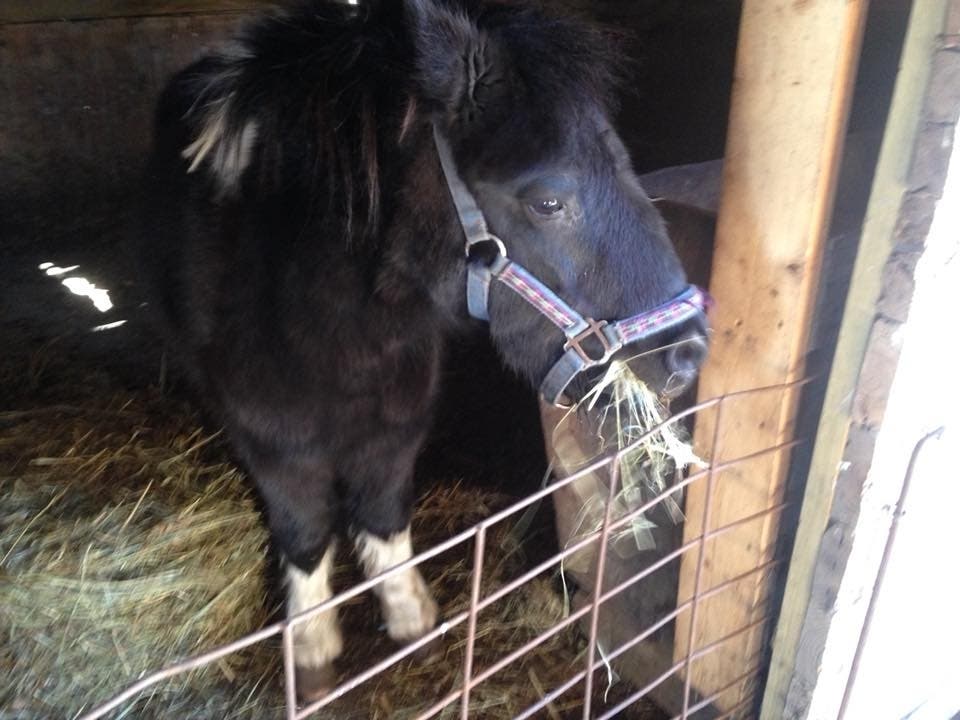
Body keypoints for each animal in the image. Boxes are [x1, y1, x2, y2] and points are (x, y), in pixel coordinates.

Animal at [139, 0, 708, 700]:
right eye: (548, 201)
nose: (687, 352)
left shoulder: (398, 422)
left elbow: (384, 511)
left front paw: (410, 615)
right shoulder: (273, 439)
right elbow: (304, 529)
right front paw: (311, 646)